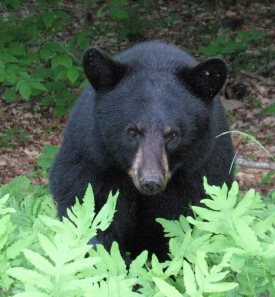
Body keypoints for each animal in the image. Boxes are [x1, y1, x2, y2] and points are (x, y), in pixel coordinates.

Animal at [48, 41, 234, 262]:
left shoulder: (201, 171)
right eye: (132, 131)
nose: (151, 181)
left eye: (173, 135)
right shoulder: (93, 161)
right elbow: (91, 217)